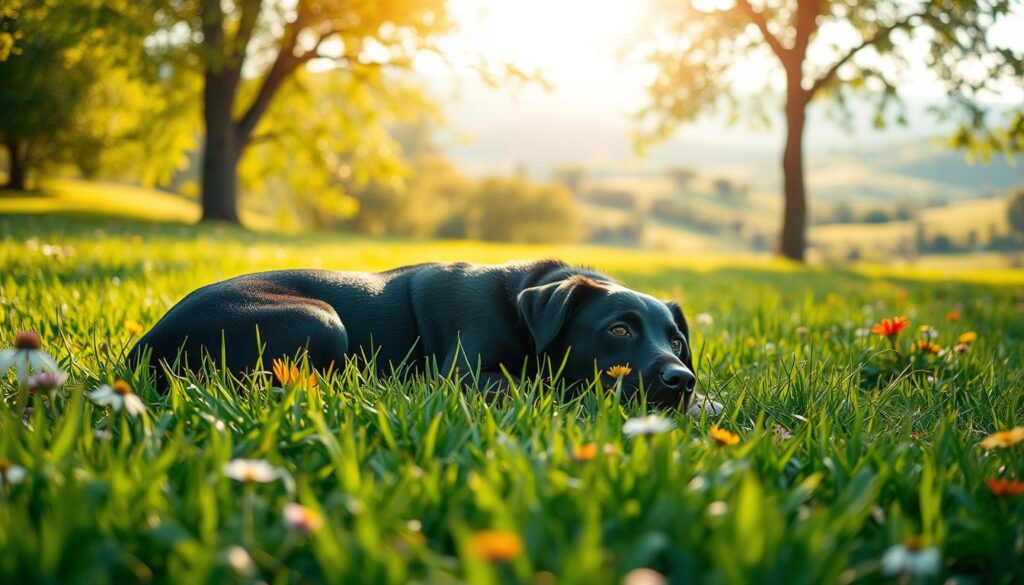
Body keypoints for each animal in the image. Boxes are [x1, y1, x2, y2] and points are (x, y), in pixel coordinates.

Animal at [130, 258, 720, 413]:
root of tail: (141, 348)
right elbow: (540, 385)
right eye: (618, 329)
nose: (681, 380)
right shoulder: (468, 376)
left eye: (678, 342)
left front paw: (706, 403)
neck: (521, 305)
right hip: (322, 318)